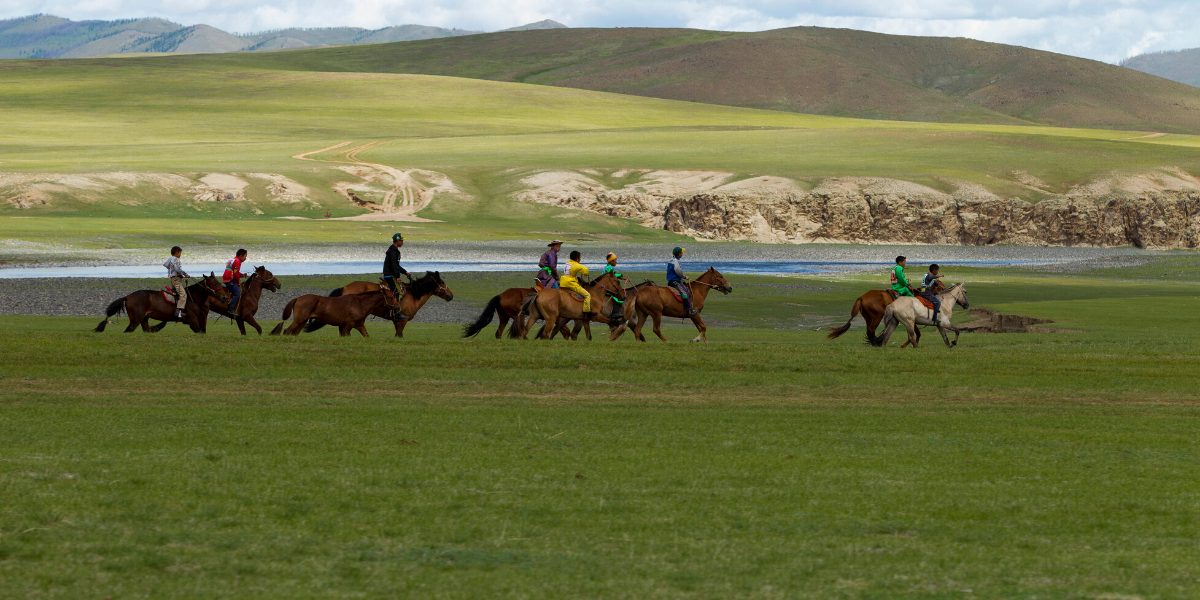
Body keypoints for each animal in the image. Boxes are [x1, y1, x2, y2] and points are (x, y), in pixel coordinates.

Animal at [94, 272, 230, 334]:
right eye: (214, 284)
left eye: (219, 282)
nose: (224, 297)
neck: (192, 298)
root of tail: (127, 297)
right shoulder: (193, 321)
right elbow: (199, 330)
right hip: (136, 320)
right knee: (128, 330)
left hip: (144, 319)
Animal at [270, 283, 399, 337]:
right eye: (391, 297)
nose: (398, 307)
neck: (360, 303)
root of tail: (297, 298)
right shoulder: (348, 325)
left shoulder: (357, 325)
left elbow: (366, 335)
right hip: (299, 320)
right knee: (287, 331)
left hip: (301, 322)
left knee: (293, 333)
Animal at [303, 271, 453, 338]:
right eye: (442, 282)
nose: (451, 295)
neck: (413, 294)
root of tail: (345, 288)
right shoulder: (403, 320)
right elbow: (399, 334)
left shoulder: (395, 320)